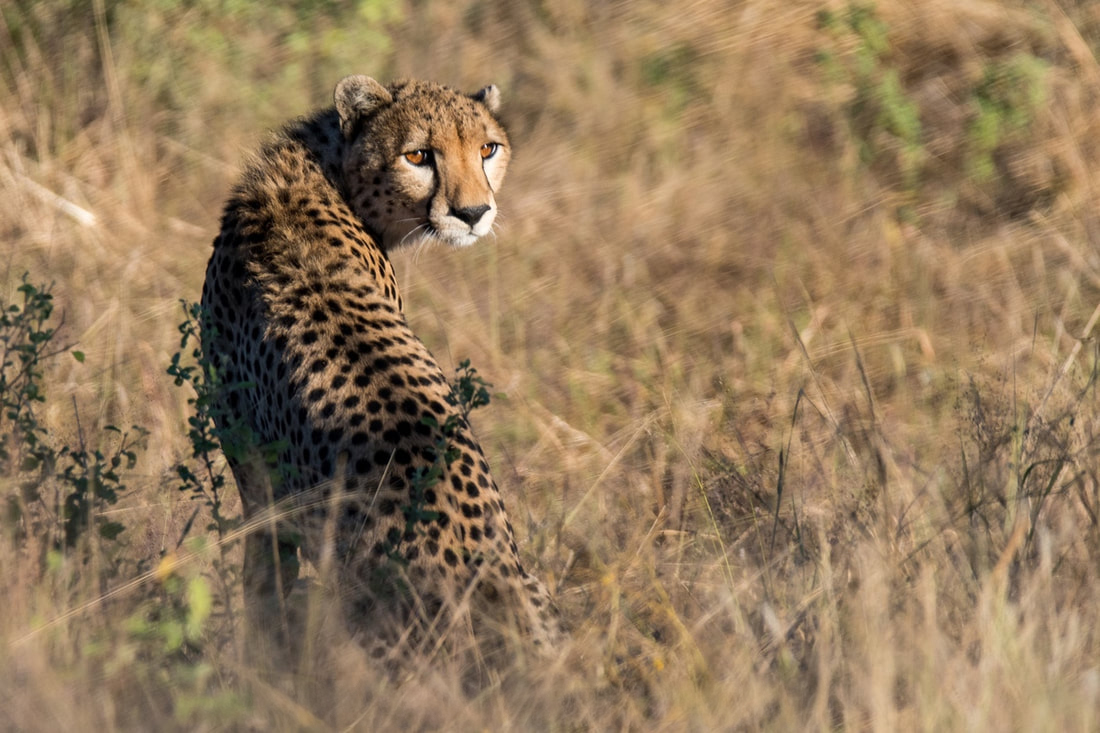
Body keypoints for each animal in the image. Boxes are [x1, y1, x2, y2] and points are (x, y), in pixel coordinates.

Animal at [200, 75, 559, 665]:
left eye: (487, 149)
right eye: (418, 156)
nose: (474, 214)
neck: (323, 171)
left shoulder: (259, 484)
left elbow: (263, 587)